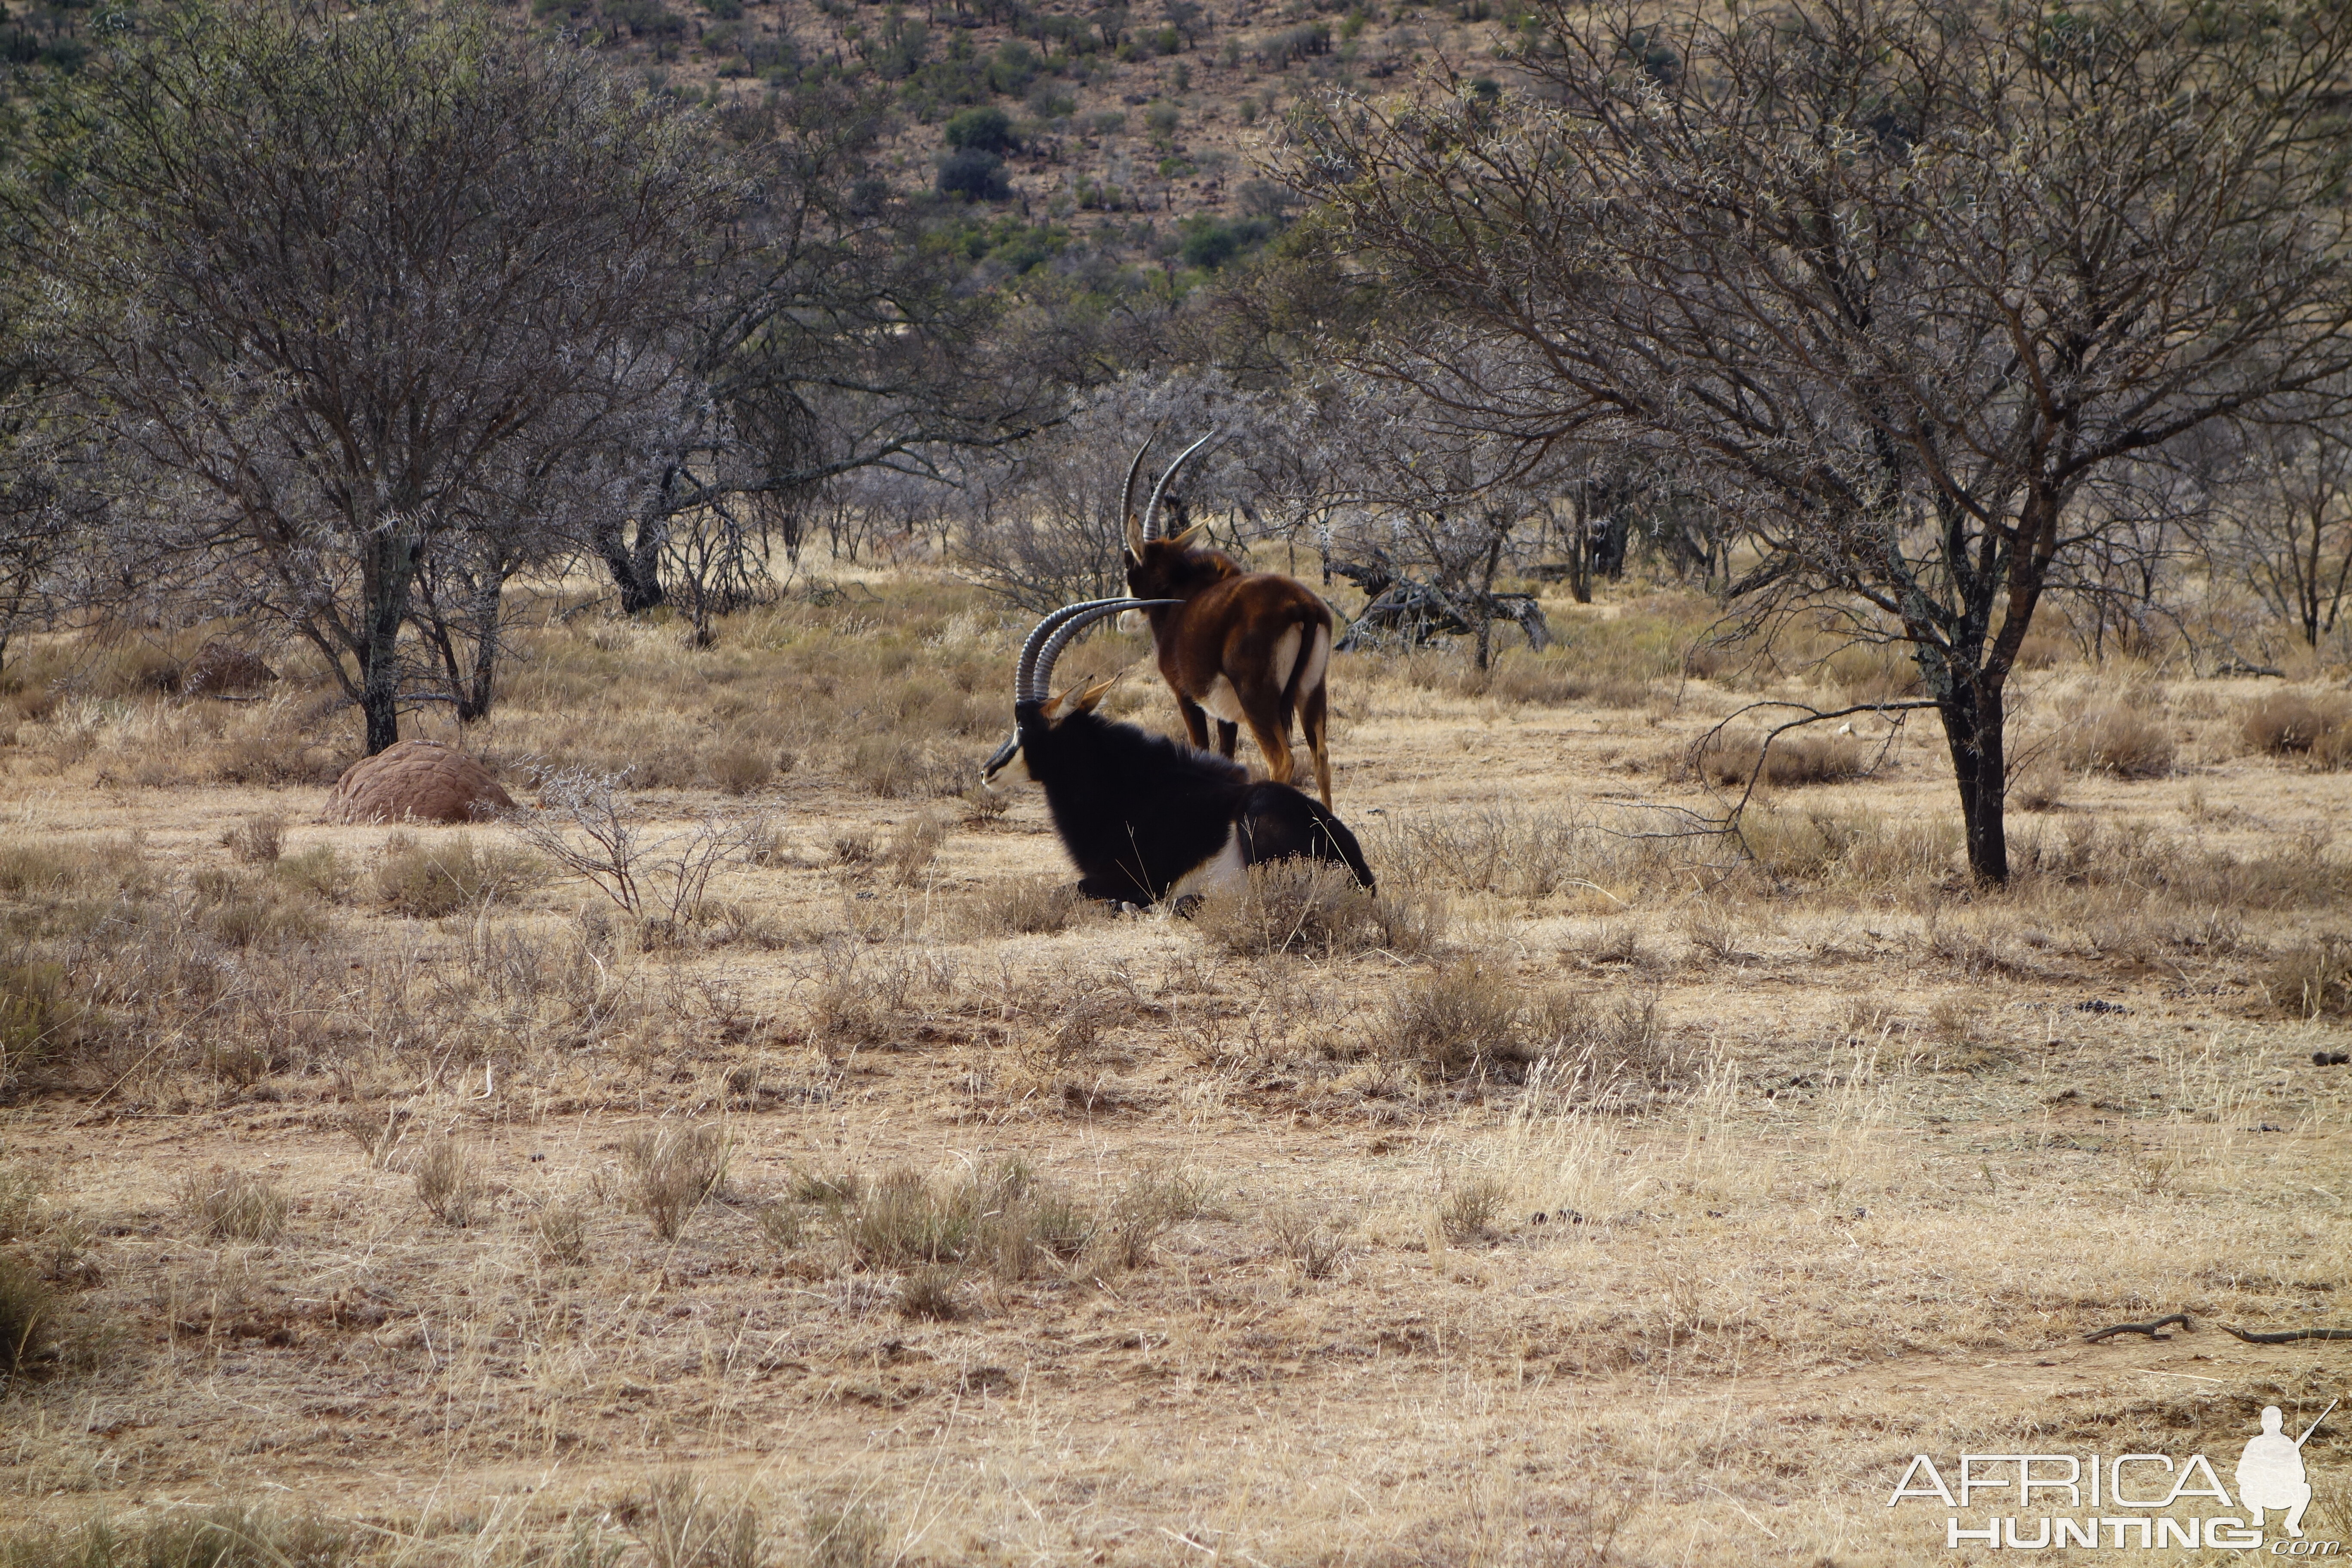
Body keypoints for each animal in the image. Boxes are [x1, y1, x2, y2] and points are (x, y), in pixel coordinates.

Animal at [978, 597, 1373, 907]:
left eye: (1023, 726)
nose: (987, 771)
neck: (1123, 789)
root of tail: (1362, 872)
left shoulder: (1134, 878)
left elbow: (1062, 892)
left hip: (1257, 819)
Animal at [1124, 432, 1336, 808]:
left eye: (1127, 565)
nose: (1123, 618)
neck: (1181, 594)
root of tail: (1303, 607)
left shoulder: (1186, 697)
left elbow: (1201, 751)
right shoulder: (1227, 716)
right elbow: (1226, 758)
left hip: (1258, 701)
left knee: (1282, 759)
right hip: (1312, 692)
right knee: (1320, 755)